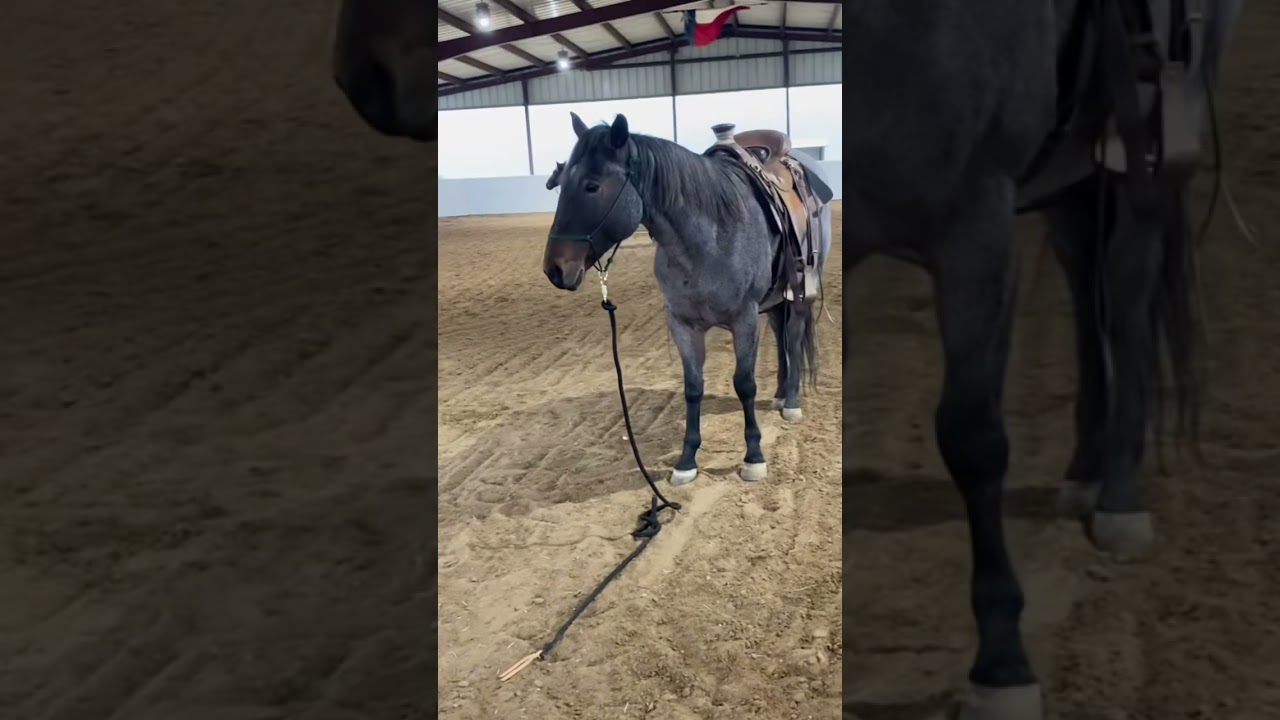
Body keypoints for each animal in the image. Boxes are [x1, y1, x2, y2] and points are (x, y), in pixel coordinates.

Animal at [542, 113, 833, 485]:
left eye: (592, 186)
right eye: (562, 183)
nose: (554, 269)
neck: (707, 239)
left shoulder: (744, 319)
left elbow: (745, 384)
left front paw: (753, 457)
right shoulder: (682, 323)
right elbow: (693, 388)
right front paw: (686, 460)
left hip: (798, 292)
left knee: (793, 339)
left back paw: (792, 401)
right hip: (774, 299)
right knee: (781, 333)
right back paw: (781, 393)